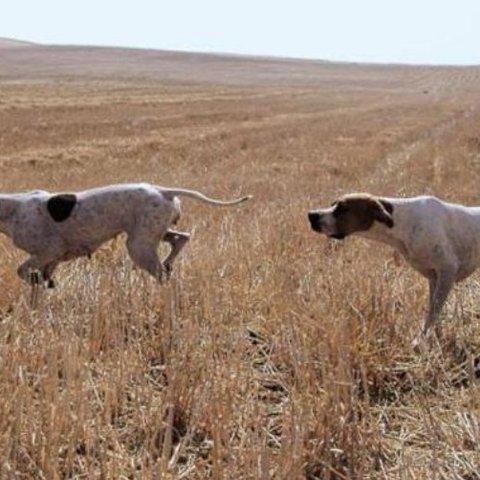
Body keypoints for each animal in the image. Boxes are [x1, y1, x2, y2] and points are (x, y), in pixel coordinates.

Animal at [0, 184, 251, 288]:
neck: (11, 208)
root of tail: (163, 190)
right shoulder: (50, 260)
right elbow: (41, 280)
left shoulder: (49, 251)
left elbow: (21, 271)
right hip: (154, 234)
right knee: (182, 238)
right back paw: (169, 263)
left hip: (138, 247)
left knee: (163, 273)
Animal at [310, 193, 480, 346]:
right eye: (332, 204)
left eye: (343, 208)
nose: (311, 215)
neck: (403, 223)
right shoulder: (434, 276)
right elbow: (433, 309)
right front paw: (433, 335)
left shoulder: (447, 270)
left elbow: (434, 310)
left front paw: (421, 339)